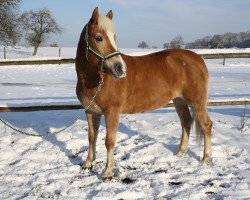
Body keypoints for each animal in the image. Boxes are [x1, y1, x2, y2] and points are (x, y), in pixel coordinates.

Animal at [75, 7, 212, 180]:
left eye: (114, 37)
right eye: (98, 38)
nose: (120, 68)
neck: (96, 79)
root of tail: (198, 59)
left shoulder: (112, 112)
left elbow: (109, 141)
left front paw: (107, 172)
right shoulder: (91, 112)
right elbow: (92, 137)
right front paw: (88, 163)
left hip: (196, 101)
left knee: (206, 125)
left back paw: (206, 158)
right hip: (179, 100)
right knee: (186, 122)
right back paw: (180, 153)